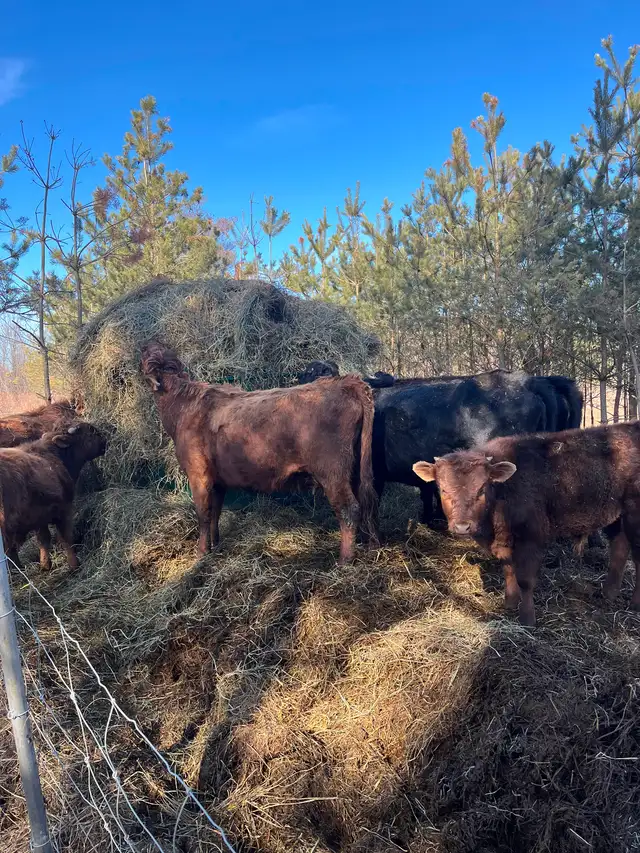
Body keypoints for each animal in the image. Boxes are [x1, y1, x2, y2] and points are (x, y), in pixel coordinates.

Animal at [0, 421, 107, 570]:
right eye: (91, 432)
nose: (105, 441)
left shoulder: (39, 517)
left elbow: (43, 539)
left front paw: (45, 564)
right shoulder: (64, 509)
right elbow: (65, 537)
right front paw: (74, 564)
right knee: (9, 553)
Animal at [141, 343, 379, 564]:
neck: (183, 404)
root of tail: (346, 382)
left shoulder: (198, 475)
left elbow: (204, 514)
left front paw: (201, 553)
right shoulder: (217, 480)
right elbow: (216, 511)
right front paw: (215, 546)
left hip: (332, 473)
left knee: (349, 510)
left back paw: (344, 561)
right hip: (354, 471)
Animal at [412, 422, 640, 626]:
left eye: (482, 489)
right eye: (443, 489)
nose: (462, 527)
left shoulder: (531, 538)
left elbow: (525, 579)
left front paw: (527, 619)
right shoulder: (505, 541)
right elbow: (508, 569)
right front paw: (510, 603)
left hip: (633, 516)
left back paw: (634, 604)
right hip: (617, 516)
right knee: (619, 549)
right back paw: (608, 593)